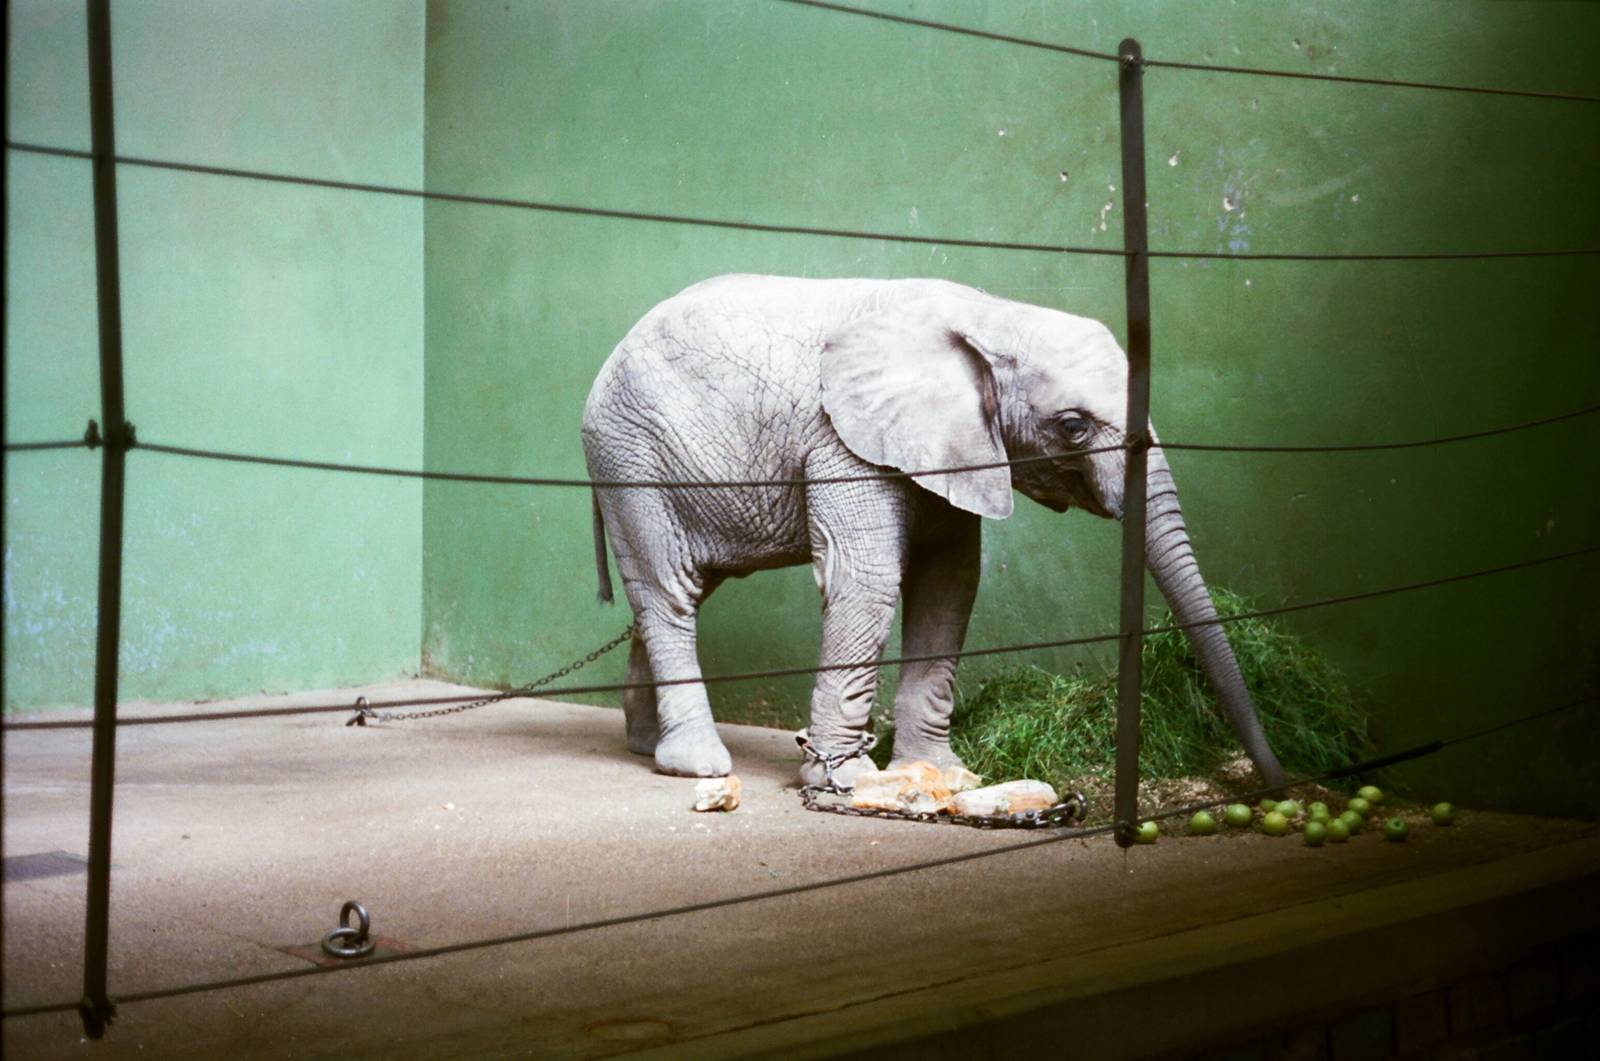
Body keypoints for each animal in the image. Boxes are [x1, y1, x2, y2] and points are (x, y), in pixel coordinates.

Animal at [581, 274, 1287, 790]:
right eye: (1073, 427)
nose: (1278, 783)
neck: (990, 316)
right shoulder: (843, 441)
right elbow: (866, 577)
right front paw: (847, 782)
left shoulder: (955, 446)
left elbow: (949, 582)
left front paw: (941, 775)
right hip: (631, 457)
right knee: (670, 591)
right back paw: (695, 764)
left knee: (678, 592)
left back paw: (647, 745)